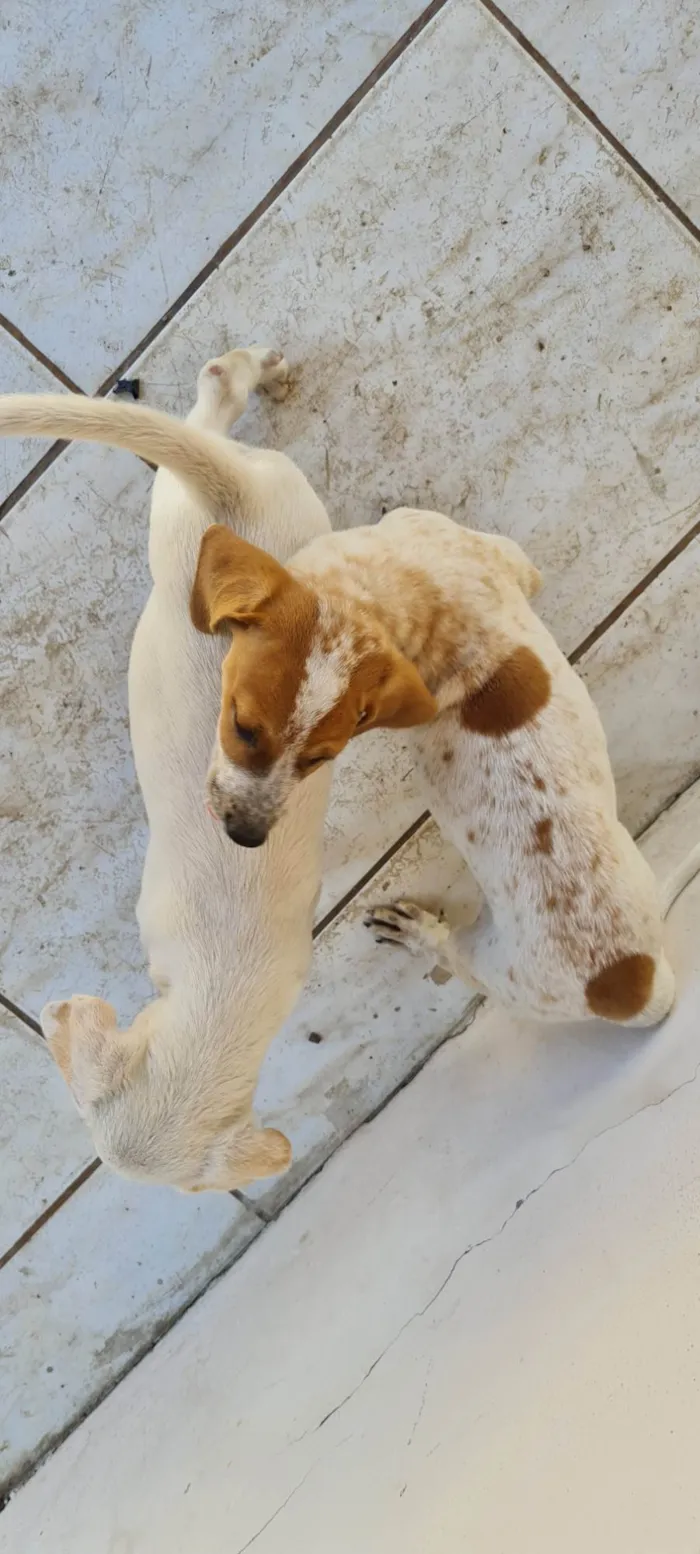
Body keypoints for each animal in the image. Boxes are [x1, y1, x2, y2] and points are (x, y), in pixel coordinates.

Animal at [191, 503, 700, 1025]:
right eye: (243, 727)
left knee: (449, 953)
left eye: (320, 758)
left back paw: (416, 931)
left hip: (493, 968)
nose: (244, 836)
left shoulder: (494, 553)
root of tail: (640, 984)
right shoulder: (516, 567)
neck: (397, 599)